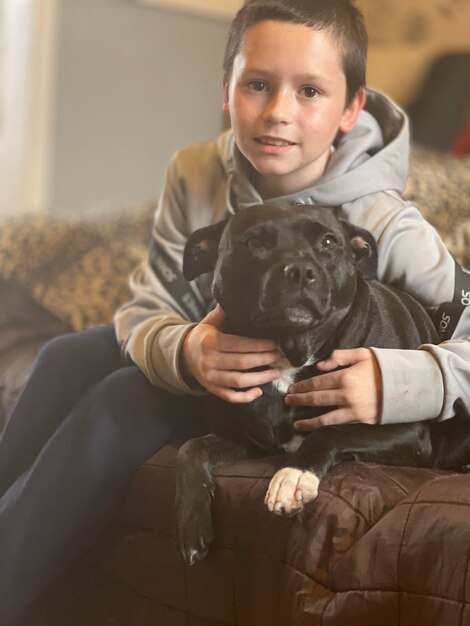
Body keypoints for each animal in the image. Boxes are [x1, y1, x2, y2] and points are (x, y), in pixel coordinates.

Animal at [175, 202, 470, 564]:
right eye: (255, 242)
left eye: (328, 242)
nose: (300, 271)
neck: (291, 355)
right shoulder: (247, 439)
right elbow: (191, 448)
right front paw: (191, 522)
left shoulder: (408, 431)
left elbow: (330, 431)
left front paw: (293, 475)